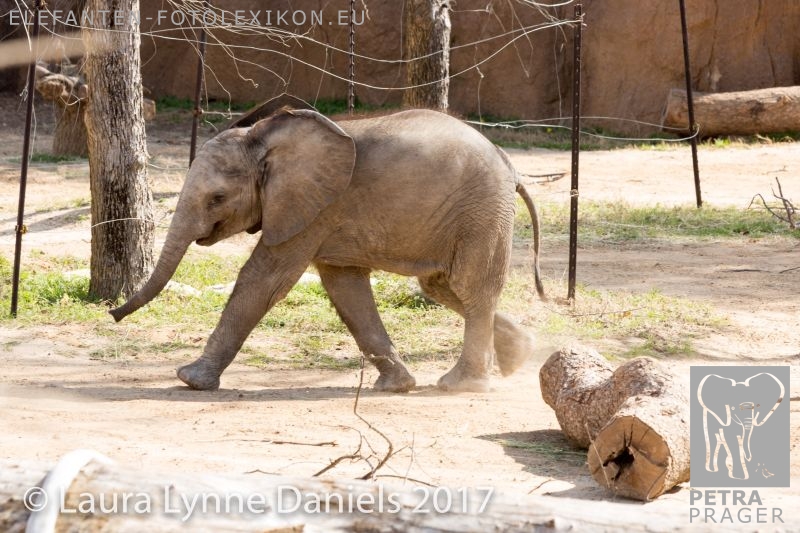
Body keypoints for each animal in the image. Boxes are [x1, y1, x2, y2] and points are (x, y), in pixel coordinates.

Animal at [109, 107, 546, 393]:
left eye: (217, 198)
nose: (112, 314)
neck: (263, 142)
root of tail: (510, 166)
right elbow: (345, 288)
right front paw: (397, 386)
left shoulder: (313, 209)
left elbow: (263, 280)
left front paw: (189, 380)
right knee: (442, 286)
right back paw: (520, 355)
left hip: (481, 211)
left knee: (469, 287)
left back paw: (461, 385)